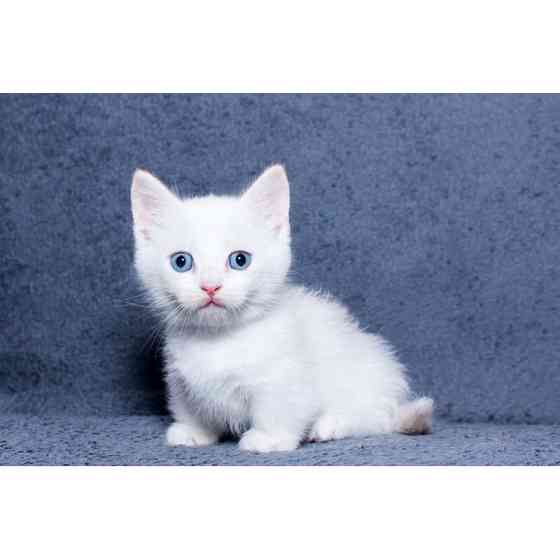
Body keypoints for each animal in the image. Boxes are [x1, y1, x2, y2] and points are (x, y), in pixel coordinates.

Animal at [132, 163, 434, 450]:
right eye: (181, 262)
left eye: (239, 260)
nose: (210, 286)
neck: (219, 339)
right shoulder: (180, 377)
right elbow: (188, 405)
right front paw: (194, 431)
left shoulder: (285, 376)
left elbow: (279, 407)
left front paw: (269, 439)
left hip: (365, 379)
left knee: (373, 418)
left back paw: (330, 425)